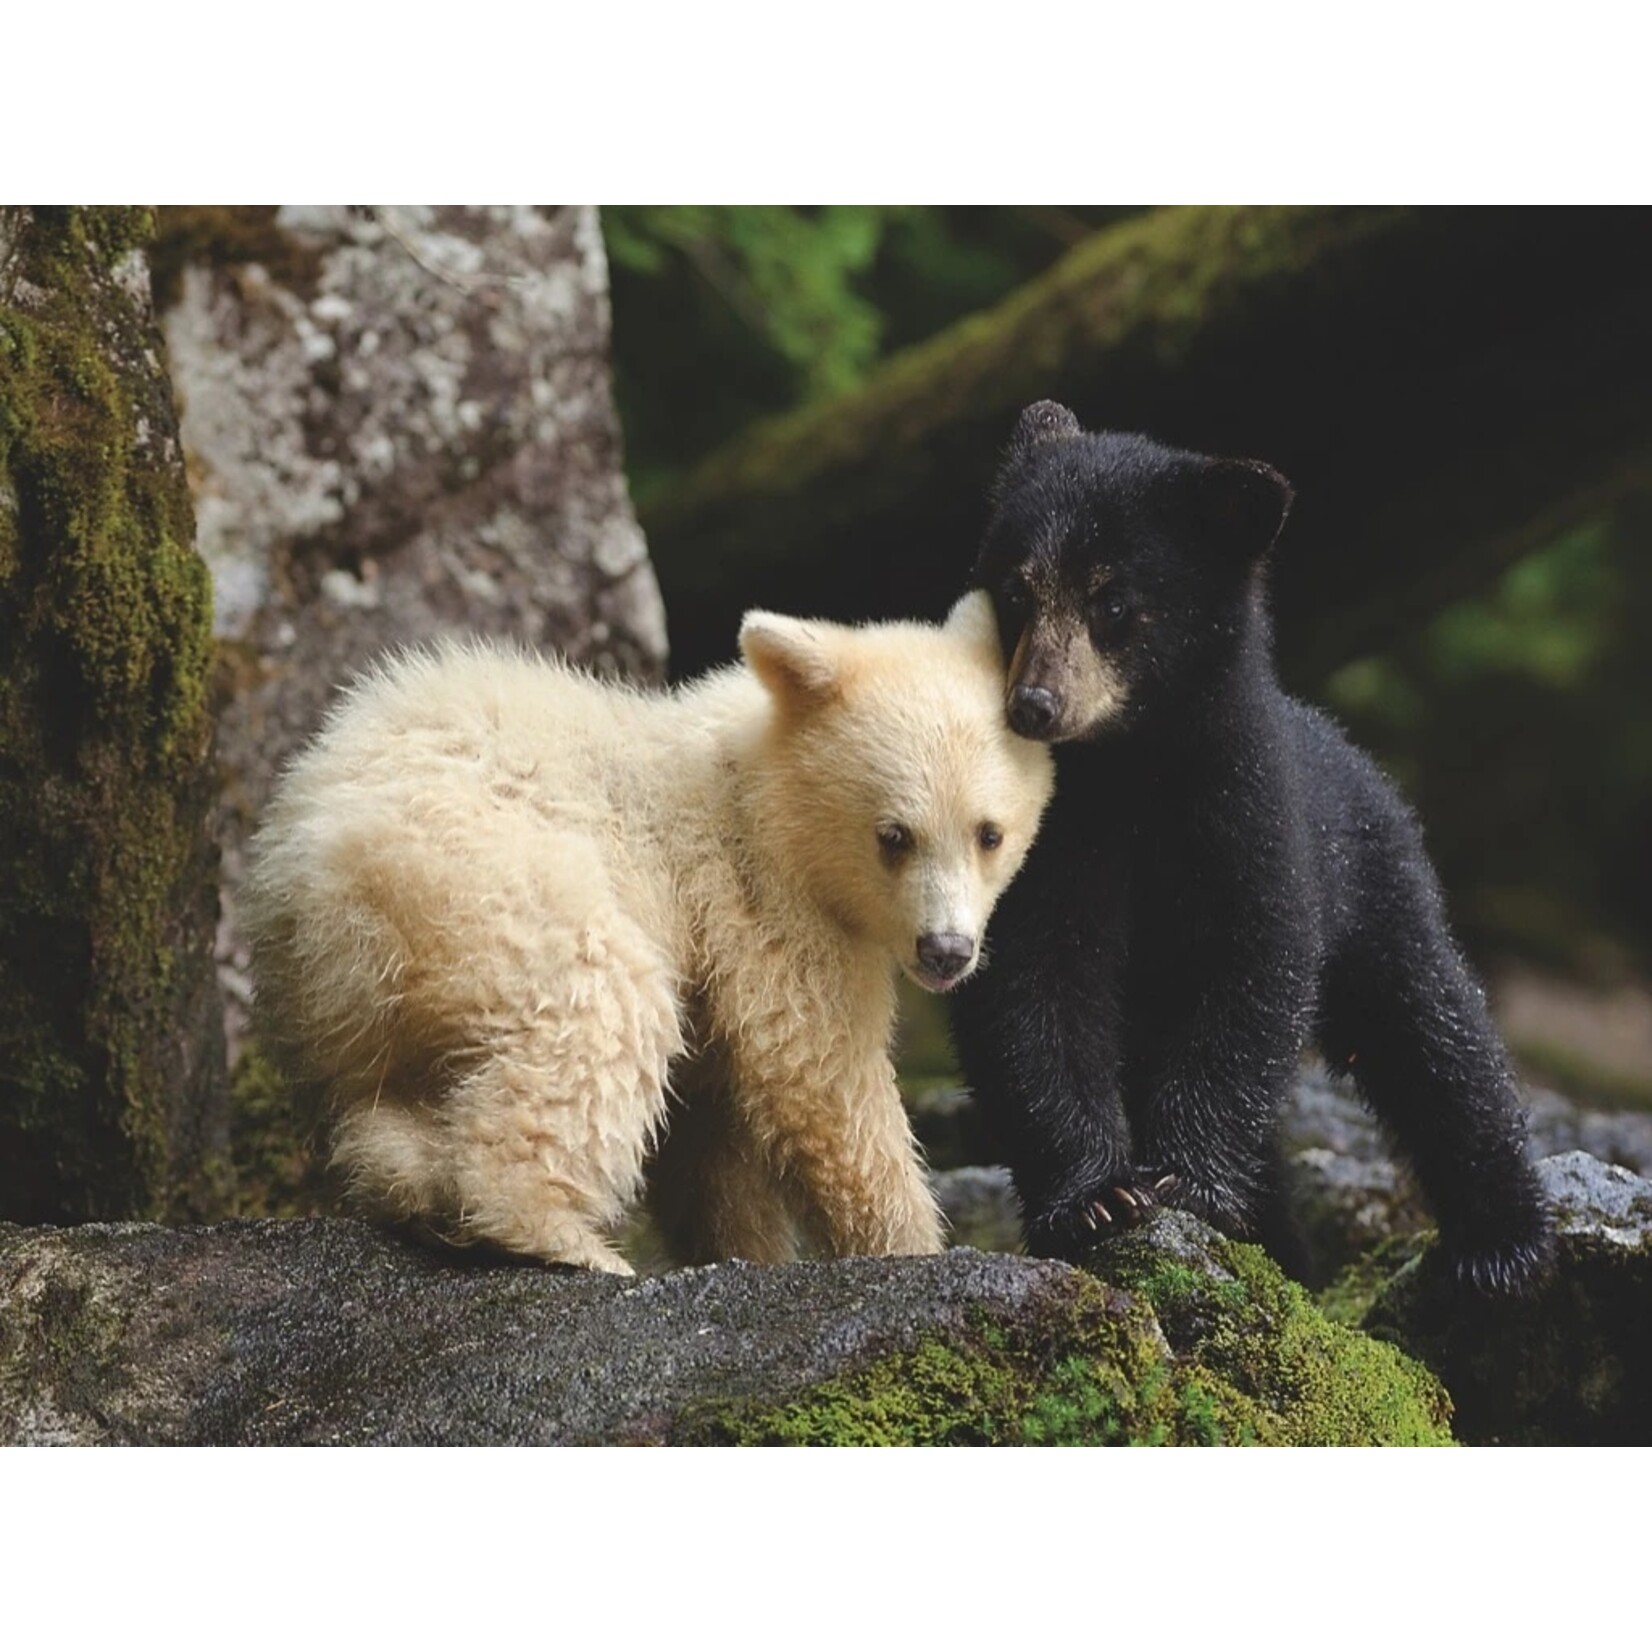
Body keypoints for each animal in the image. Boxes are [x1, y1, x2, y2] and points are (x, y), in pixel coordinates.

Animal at [243, 592, 1054, 1276]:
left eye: (989, 833)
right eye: (894, 835)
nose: (946, 952)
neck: (762, 789)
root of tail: (299, 873)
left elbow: (712, 1138)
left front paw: (743, 1250)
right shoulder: (762, 901)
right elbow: (819, 1074)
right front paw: (910, 1245)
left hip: (368, 999)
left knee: (388, 1099)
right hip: (481, 880)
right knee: (602, 1007)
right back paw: (561, 1237)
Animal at [946, 400, 1554, 1294]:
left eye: (1114, 604)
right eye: (1016, 590)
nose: (1034, 705)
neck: (1127, 771)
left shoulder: (1250, 813)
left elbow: (1251, 969)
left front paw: (1185, 1182)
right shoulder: (1040, 841)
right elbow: (1031, 987)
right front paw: (1098, 1200)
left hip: (1379, 880)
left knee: (1435, 1031)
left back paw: (1502, 1242)